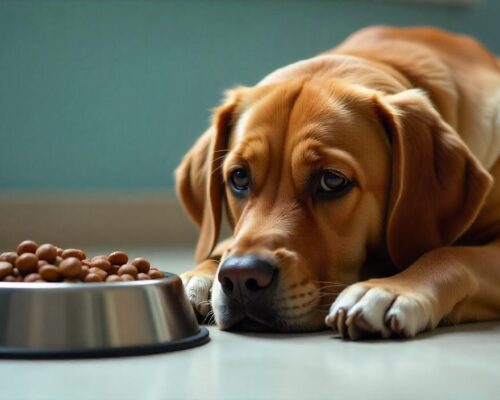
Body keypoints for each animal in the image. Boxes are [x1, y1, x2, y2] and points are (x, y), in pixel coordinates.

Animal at [175, 25, 500, 340]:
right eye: (239, 177)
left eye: (332, 180)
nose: (241, 277)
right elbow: (224, 245)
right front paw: (196, 276)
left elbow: (450, 255)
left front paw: (388, 289)